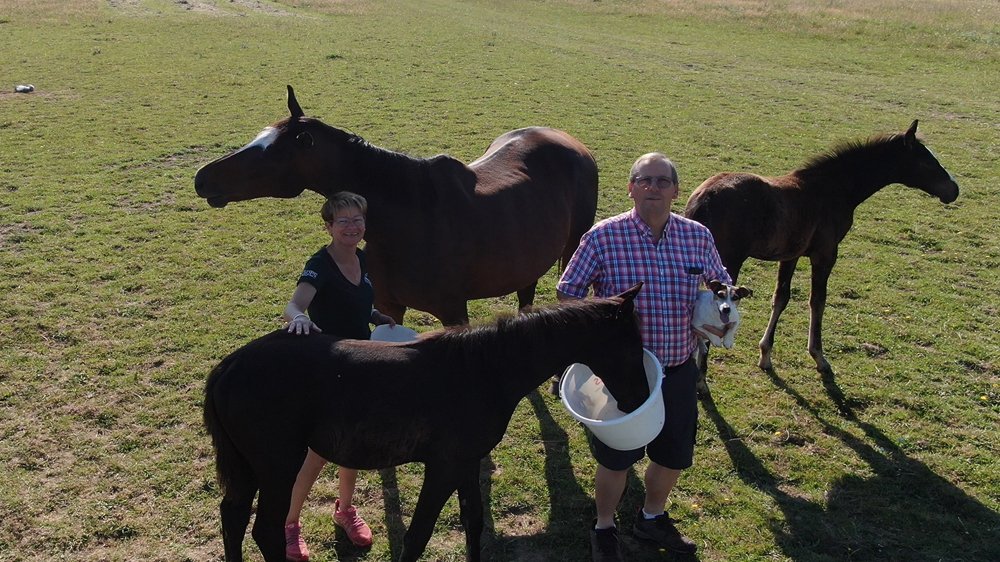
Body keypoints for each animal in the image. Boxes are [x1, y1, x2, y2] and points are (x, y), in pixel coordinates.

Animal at [194, 86, 599, 326]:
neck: (410, 222)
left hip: (573, 248)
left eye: (271, 153)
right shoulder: (390, 307)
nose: (202, 178)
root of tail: (572, 143)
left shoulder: (454, 312)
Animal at [203, 285, 651, 562]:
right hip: (277, 467)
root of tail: (229, 366)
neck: (484, 370)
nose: (641, 399)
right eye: (632, 345)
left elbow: (473, 523)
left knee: (233, 518)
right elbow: (417, 536)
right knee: (264, 530)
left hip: (248, 468)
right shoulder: (443, 467)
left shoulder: (467, 463)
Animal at [684, 120, 958, 378]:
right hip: (729, 260)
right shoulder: (825, 254)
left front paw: (765, 355)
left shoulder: (791, 255)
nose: (953, 190)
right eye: (926, 162)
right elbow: (818, 301)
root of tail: (702, 199)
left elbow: (781, 298)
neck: (836, 188)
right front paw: (819, 356)